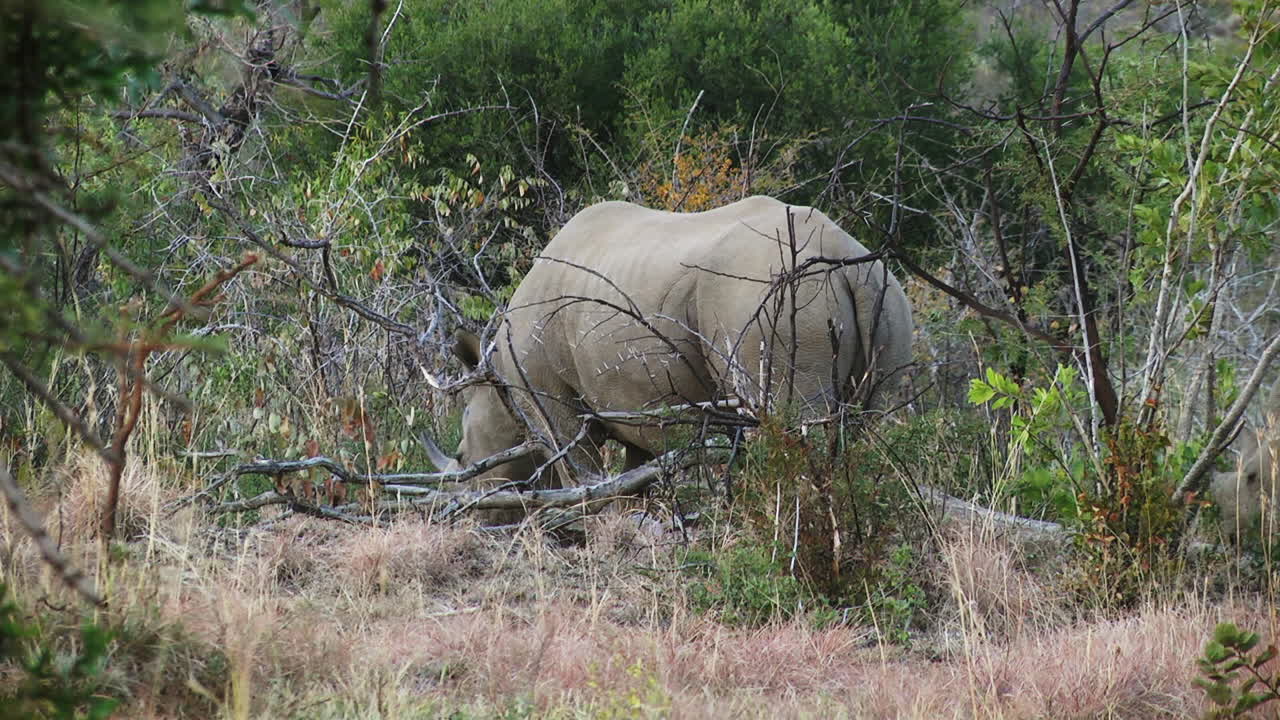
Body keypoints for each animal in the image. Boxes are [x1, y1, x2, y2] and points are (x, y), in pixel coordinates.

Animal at [427, 195, 914, 499]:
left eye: (462, 457)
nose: (478, 515)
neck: (502, 385)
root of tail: (843, 256)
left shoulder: (551, 403)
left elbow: (582, 473)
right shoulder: (636, 403)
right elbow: (634, 475)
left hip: (773, 298)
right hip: (885, 293)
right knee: (874, 427)